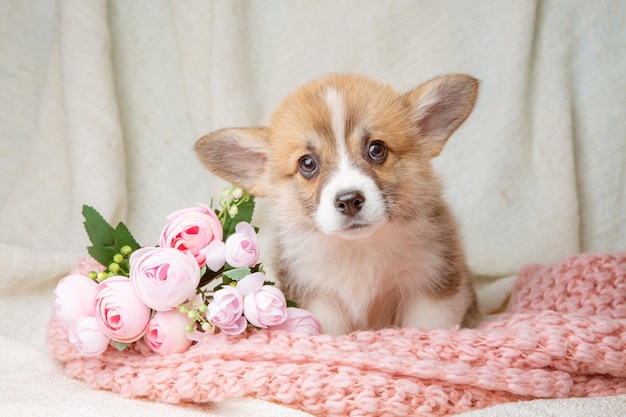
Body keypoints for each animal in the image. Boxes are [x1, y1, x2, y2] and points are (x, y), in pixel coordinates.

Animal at [195, 73, 478, 334]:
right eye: (308, 163)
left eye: (377, 149)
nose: (349, 200)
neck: (359, 248)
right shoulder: (319, 298)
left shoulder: (429, 286)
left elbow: (426, 329)